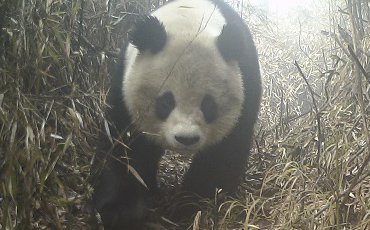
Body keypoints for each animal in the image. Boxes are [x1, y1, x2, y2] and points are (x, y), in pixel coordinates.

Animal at [91, 0, 262, 229]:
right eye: (166, 102)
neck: (190, 19)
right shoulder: (124, 85)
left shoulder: (246, 86)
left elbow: (221, 155)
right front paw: (120, 211)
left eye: (208, 105)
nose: (186, 139)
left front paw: (188, 207)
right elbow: (123, 145)